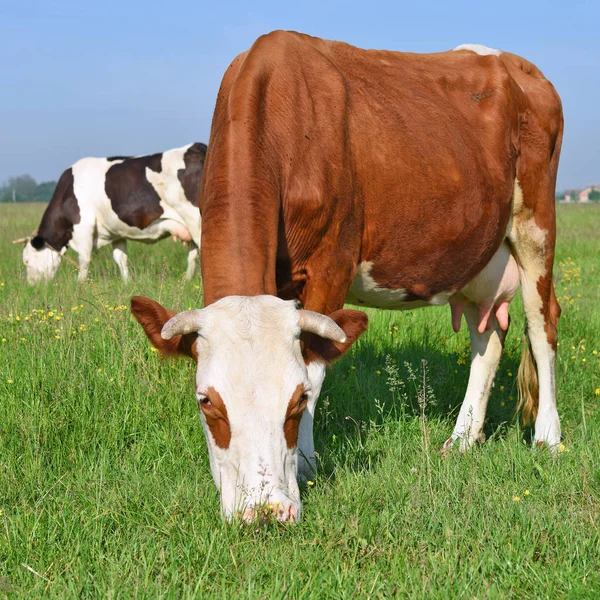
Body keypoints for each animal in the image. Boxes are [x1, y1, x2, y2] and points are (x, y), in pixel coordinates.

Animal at [18, 143, 206, 284]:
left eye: (26, 261)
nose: (32, 286)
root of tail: (197, 148)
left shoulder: (83, 225)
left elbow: (84, 259)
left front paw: (80, 283)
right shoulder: (117, 232)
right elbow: (120, 258)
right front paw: (127, 282)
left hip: (195, 218)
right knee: (193, 255)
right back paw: (186, 281)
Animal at [130, 31, 564, 520]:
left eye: (297, 398)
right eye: (206, 402)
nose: (265, 511)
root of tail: (522, 68)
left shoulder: (331, 263)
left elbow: (317, 364)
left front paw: (305, 464)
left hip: (535, 225)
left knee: (542, 322)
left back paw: (547, 437)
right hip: (478, 254)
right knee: (487, 338)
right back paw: (462, 439)